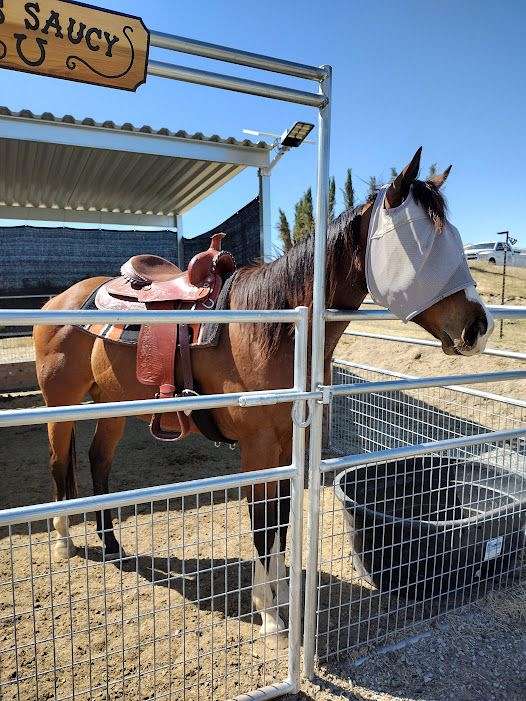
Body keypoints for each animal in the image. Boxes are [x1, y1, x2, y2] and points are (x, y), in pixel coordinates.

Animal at [34, 150, 496, 636]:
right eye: (425, 243)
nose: (479, 327)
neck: (273, 327)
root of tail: (61, 300)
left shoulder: (287, 445)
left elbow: (281, 519)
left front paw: (284, 600)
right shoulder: (257, 449)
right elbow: (261, 523)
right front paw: (270, 616)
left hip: (113, 406)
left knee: (98, 463)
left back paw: (111, 543)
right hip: (60, 404)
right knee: (59, 463)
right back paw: (64, 541)